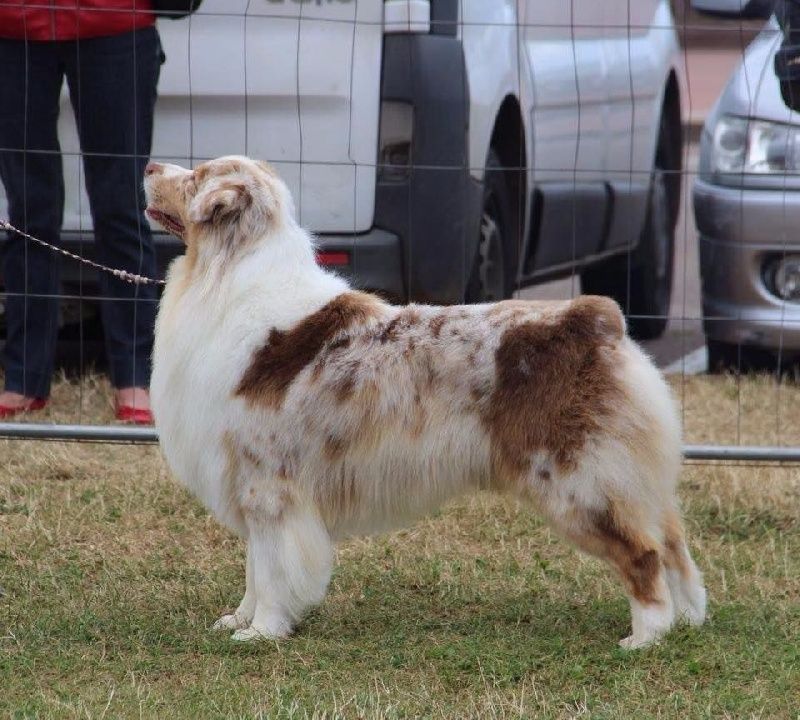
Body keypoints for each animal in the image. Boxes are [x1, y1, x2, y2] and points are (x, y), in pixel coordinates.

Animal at [145, 153, 708, 648]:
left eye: (196, 177)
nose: (149, 166)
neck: (223, 277)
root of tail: (594, 319)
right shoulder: (249, 481)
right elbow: (254, 568)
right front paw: (241, 618)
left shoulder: (268, 486)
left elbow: (272, 567)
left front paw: (262, 632)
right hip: (629, 478)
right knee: (674, 546)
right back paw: (687, 620)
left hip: (580, 483)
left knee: (643, 554)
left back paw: (645, 636)